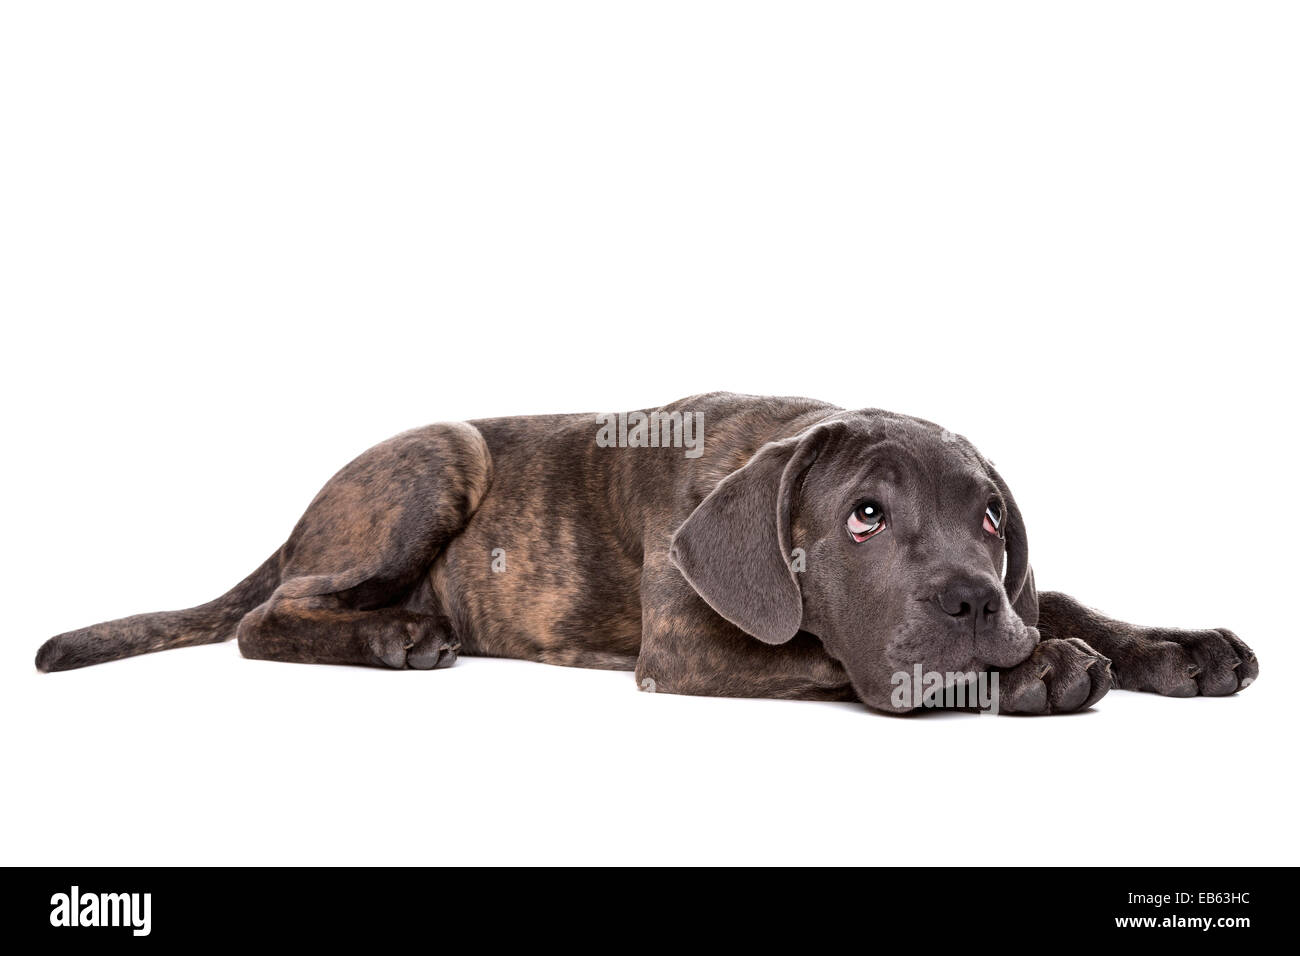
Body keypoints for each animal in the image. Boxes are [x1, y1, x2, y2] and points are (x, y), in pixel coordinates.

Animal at [35, 392, 1253, 712]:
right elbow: (826, 652)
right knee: (263, 616)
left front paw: (1177, 644)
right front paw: (1037, 667)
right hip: (437, 457)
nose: (971, 604)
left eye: (992, 518)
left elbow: (1071, 599)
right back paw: (397, 635)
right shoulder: (686, 647)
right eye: (863, 516)